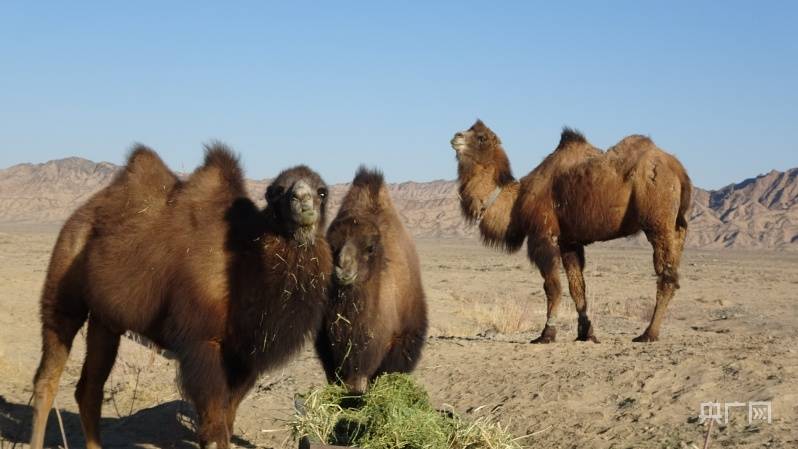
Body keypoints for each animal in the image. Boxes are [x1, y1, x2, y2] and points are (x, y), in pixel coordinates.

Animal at [30, 144, 332, 448]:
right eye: (278, 191)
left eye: (321, 192)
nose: (302, 199)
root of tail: (82, 213)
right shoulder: (203, 342)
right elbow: (214, 427)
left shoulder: (243, 357)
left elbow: (227, 419)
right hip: (64, 281)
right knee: (48, 375)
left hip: (105, 319)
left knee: (89, 388)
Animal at [450, 120, 692, 344]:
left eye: (481, 137)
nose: (455, 137)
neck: (516, 202)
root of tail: (679, 170)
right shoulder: (569, 241)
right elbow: (577, 287)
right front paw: (586, 333)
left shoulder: (543, 235)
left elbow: (552, 287)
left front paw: (547, 334)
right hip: (678, 227)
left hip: (658, 221)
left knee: (666, 275)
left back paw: (648, 333)